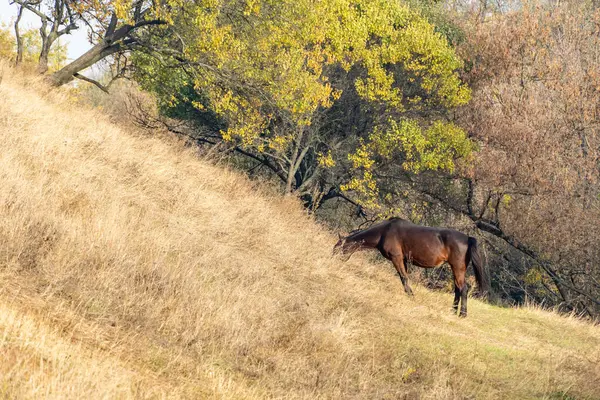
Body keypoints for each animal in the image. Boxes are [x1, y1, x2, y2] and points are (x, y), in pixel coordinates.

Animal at [332, 217, 488, 318]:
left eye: (337, 249)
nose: (332, 261)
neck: (384, 232)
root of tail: (468, 238)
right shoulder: (404, 260)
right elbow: (405, 278)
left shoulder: (396, 258)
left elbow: (403, 277)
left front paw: (411, 296)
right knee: (457, 289)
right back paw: (453, 311)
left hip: (457, 268)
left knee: (463, 289)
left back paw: (462, 314)